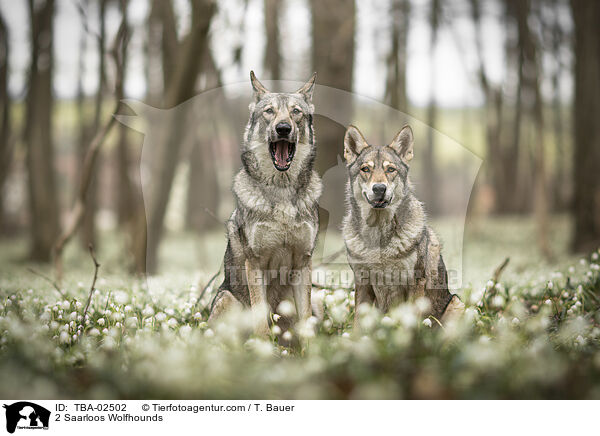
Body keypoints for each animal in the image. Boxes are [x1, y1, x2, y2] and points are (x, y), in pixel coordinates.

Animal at [209, 70, 322, 338]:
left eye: (295, 112)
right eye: (269, 111)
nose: (283, 128)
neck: (281, 191)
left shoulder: (303, 263)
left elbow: (305, 323)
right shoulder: (256, 263)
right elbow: (260, 321)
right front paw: (262, 347)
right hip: (227, 298)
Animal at [342, 122, 464, 328]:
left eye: (391, 170)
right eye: (365, 169)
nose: (379, 188)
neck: (378, 237)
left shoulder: (415, 282)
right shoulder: (362, 283)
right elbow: (358, 323)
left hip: (457, 303)